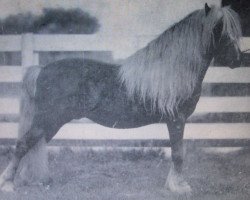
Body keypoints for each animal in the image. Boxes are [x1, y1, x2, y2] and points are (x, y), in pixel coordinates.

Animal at [0, 3, 242, 194]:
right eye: (220, 29)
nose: (238, 59)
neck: (172, 70)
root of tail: (42, 69)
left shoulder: (176, 121)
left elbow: (176, 152)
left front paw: (173, 184)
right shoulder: (176, 120)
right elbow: (177, 153)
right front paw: (179, 187)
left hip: (51, 123)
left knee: (33, 145)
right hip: (47, 120)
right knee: (23, 144)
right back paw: (9, 184)